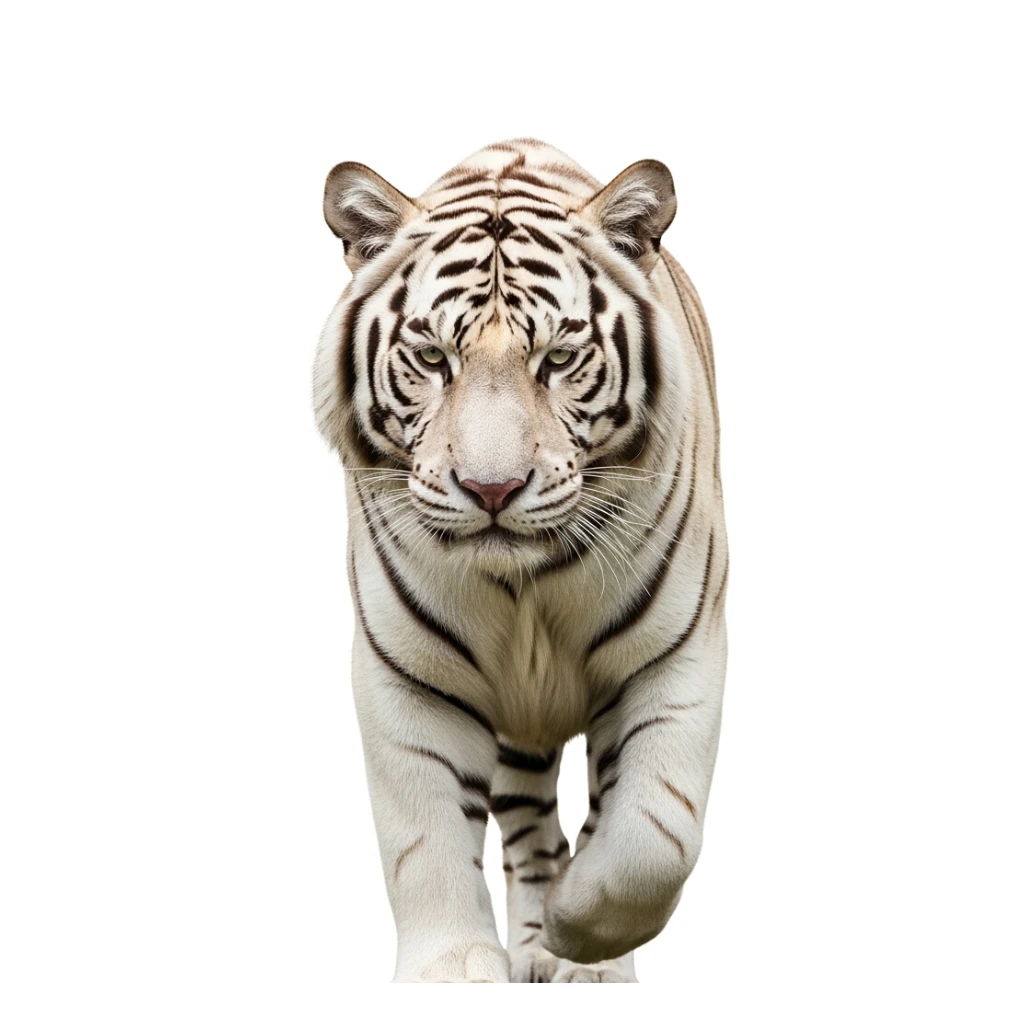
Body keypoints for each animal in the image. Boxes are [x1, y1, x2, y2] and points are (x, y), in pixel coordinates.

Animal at [313, 139, 728, 983]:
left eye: (560, 357)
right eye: (431, 356)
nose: (492, 488)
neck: (523, 583)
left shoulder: (677, 653)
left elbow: (652, 836)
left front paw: (582, 939)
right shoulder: (410, 674)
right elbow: (423, 838)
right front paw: (451, 970)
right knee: (531, 828)